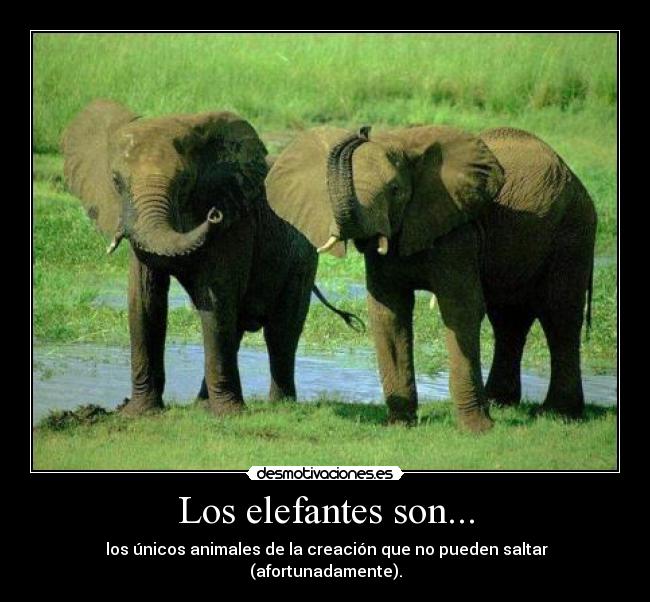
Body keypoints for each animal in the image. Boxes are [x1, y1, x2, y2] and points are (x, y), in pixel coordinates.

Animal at [62, 99, 359, 416]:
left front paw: (230, 414)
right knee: (238, 327)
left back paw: (281, 405)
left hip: (300, 259)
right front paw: (139, 413)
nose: (213, 215)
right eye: (116, 182)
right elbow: (144, 302)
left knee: (281, 331)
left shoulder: (235, 222)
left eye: (184, 182)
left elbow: (215, 302)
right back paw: (202, 405)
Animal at [265, 124, 597, 432]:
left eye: (395, 190)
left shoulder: (458, 230)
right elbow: (388, 312)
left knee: (559, 316)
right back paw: (503, 403)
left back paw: (558, 414)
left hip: (573, 231)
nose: (362, 130)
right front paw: (399, 425)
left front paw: (477, 430)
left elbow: (460, 310)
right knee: (509, 319)